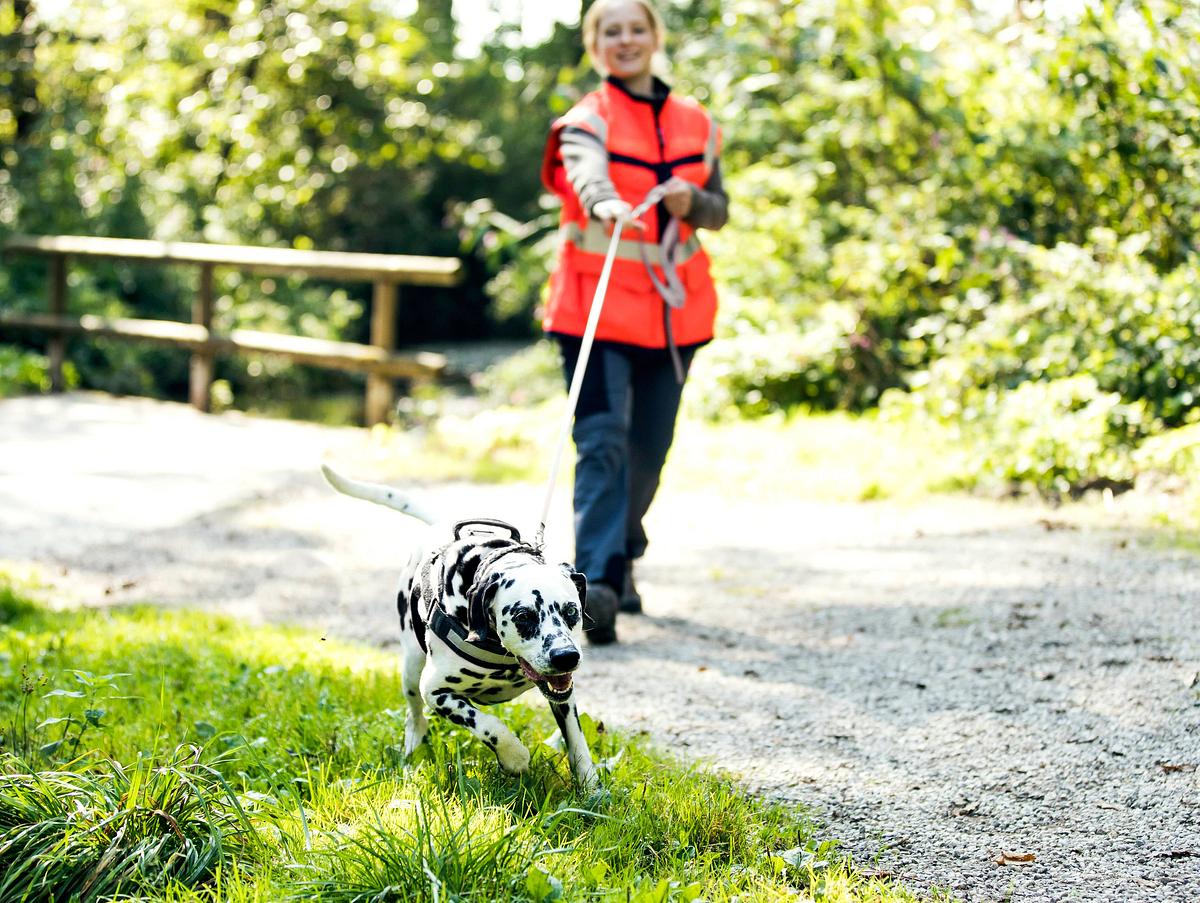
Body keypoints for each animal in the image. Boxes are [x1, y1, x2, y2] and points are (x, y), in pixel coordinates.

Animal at [321, 465, 597, 787]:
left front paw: (591, 785)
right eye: (523, 617)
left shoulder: (563, 696)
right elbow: (489, 724)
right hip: (412, 672)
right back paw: (413, 746)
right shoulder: (436, 691)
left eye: (571, 611)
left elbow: (576, 739)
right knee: (414, 715)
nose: (566, 657)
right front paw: (514, 756)